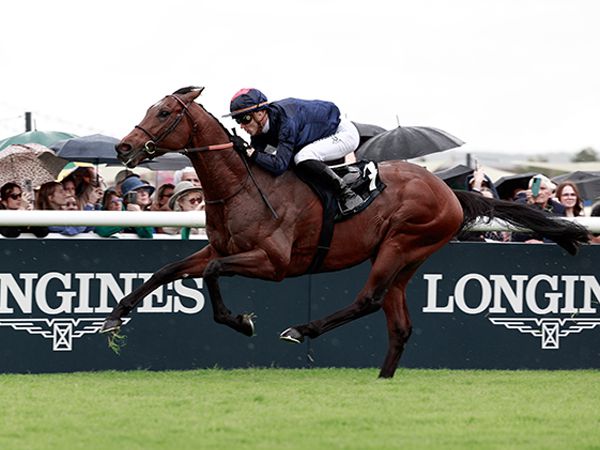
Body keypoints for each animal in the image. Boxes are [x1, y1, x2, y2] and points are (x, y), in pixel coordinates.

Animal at [101, 86, 588, 378]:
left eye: (164, 112)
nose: (123, 147)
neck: (243, 186)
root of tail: (450, 192)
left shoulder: (274, 263)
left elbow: (211, 274)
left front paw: (241, 322)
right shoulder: (216, 247)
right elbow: (167, 271)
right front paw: (114, 316)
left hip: (400, 245)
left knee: (368, 300)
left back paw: (301, 330)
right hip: (406, 260)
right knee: (399, 324)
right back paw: (382, 380)